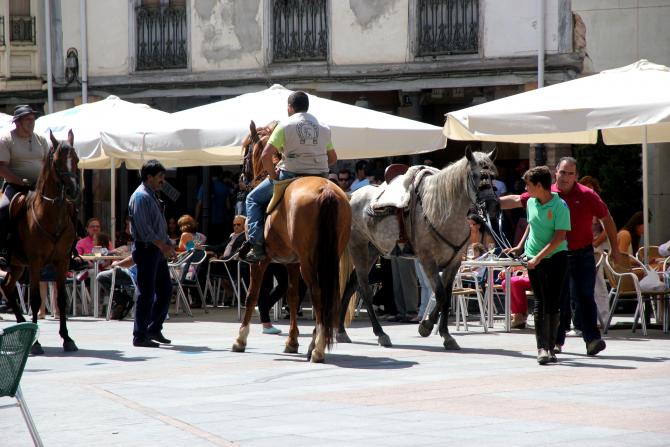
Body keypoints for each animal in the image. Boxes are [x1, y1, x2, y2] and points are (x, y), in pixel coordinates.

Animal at [2, 130, 80, 355]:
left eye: (77, 160)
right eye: (57, 161)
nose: (73, 190)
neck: (50, 214)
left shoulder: (62, 261)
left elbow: (61, 299)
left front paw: (67, 338)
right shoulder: (36, 262)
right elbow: (36, 299)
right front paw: (36, 344)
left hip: (17, 265)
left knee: (7, 287)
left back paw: (22, 327)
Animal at [232, 121, 352, 362]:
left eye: (247, 149)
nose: (242, 178)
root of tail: (326, 191)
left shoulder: (261, 262)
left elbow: (251, 295)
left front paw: (240, 339)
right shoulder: (292, 262)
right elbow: (293, 296)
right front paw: (292, 342)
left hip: (310, 262)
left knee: (317, 293)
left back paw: (318, 349)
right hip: (328, 258)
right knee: (328, 295)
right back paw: (315, 343)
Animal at [337, 148, 499, 350]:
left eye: (493, 176)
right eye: (475, 175)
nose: (492, 206)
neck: (442, 211)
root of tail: (351, 197)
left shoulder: (454, 263)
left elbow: (446, 297)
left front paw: (445, 335)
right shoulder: (427, 261)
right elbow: (441, 295)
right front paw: (427, 326)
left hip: (372, 250)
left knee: (352, 285)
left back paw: (341, 331)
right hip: (358, 248)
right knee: (364, 289)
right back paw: (380, 334)